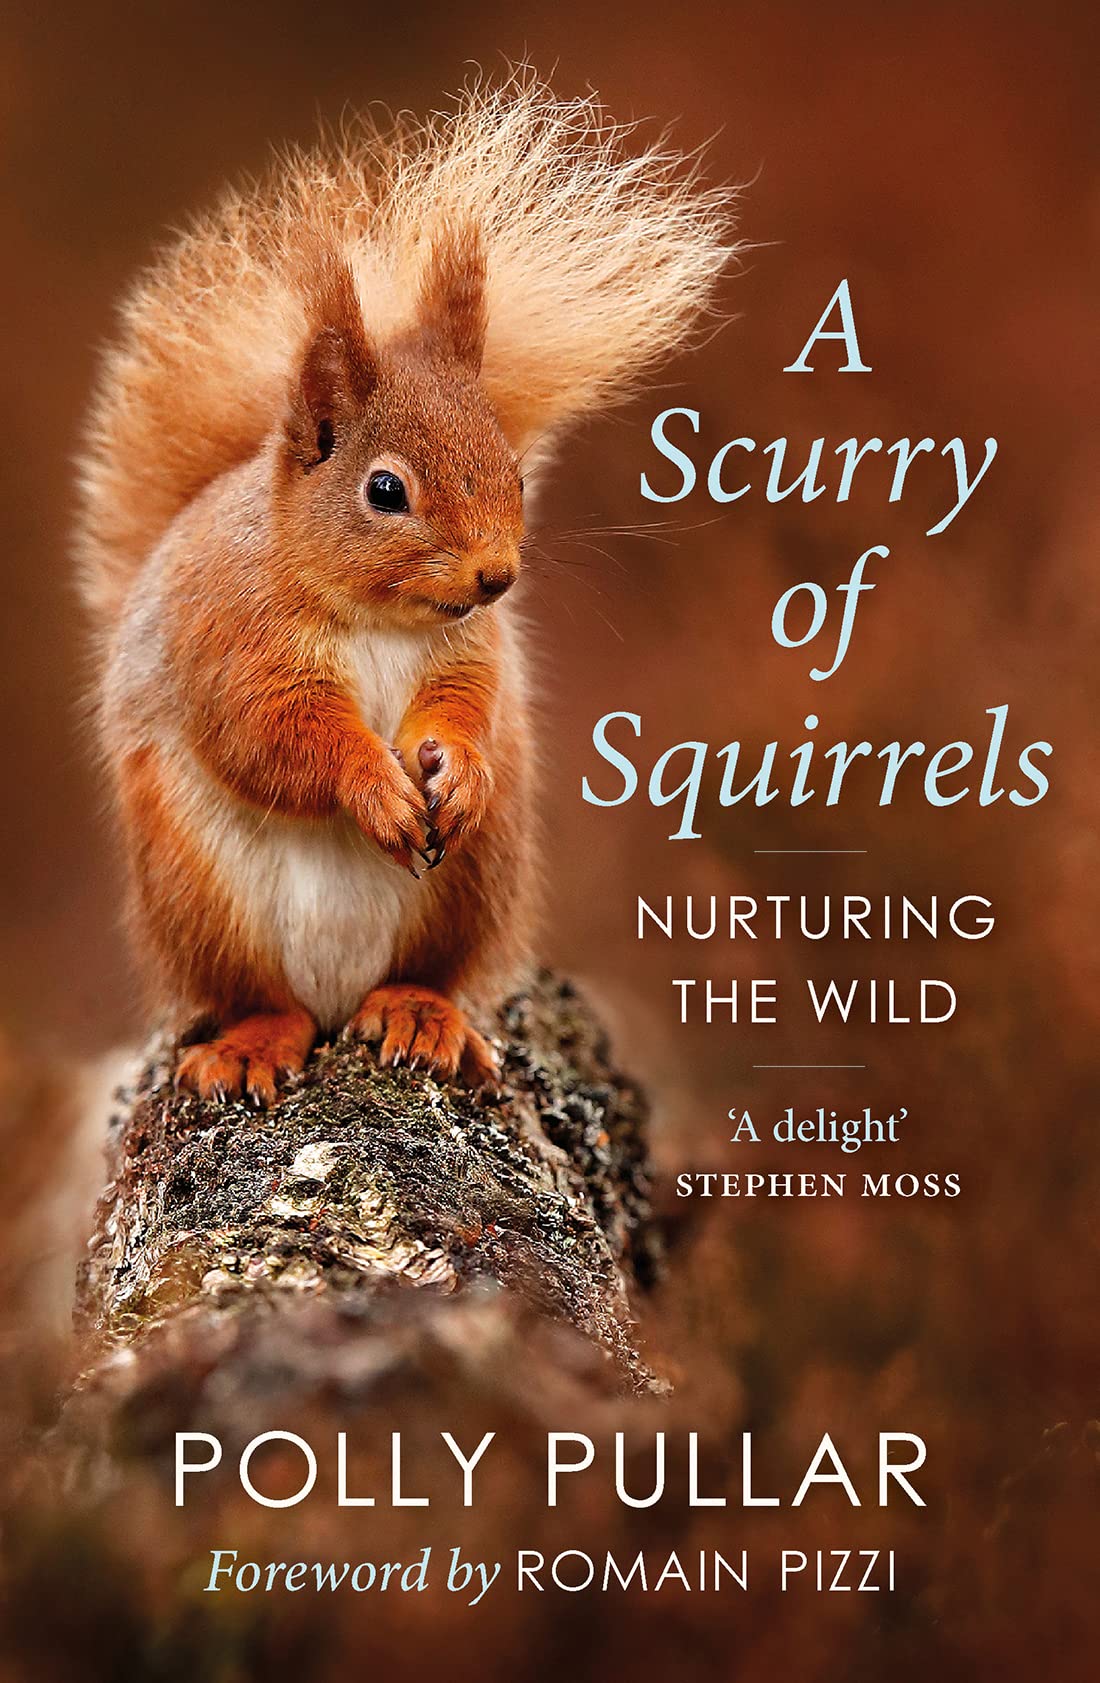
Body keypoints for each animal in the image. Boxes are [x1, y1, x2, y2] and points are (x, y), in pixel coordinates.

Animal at [75, 75, 734, 1106]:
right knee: (263, 999)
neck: (377, 619)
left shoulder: (470, 650)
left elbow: (466, 704)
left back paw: (420, 1018)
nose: (497, 576)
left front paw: (449, 767)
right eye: (385, 491)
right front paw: (373, 787)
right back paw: (253, 1042)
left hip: (475, 879)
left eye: (513, 469)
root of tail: (337, 996)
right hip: (199, 897)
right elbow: (276, 735)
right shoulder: (232, 639)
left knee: (423, 974)